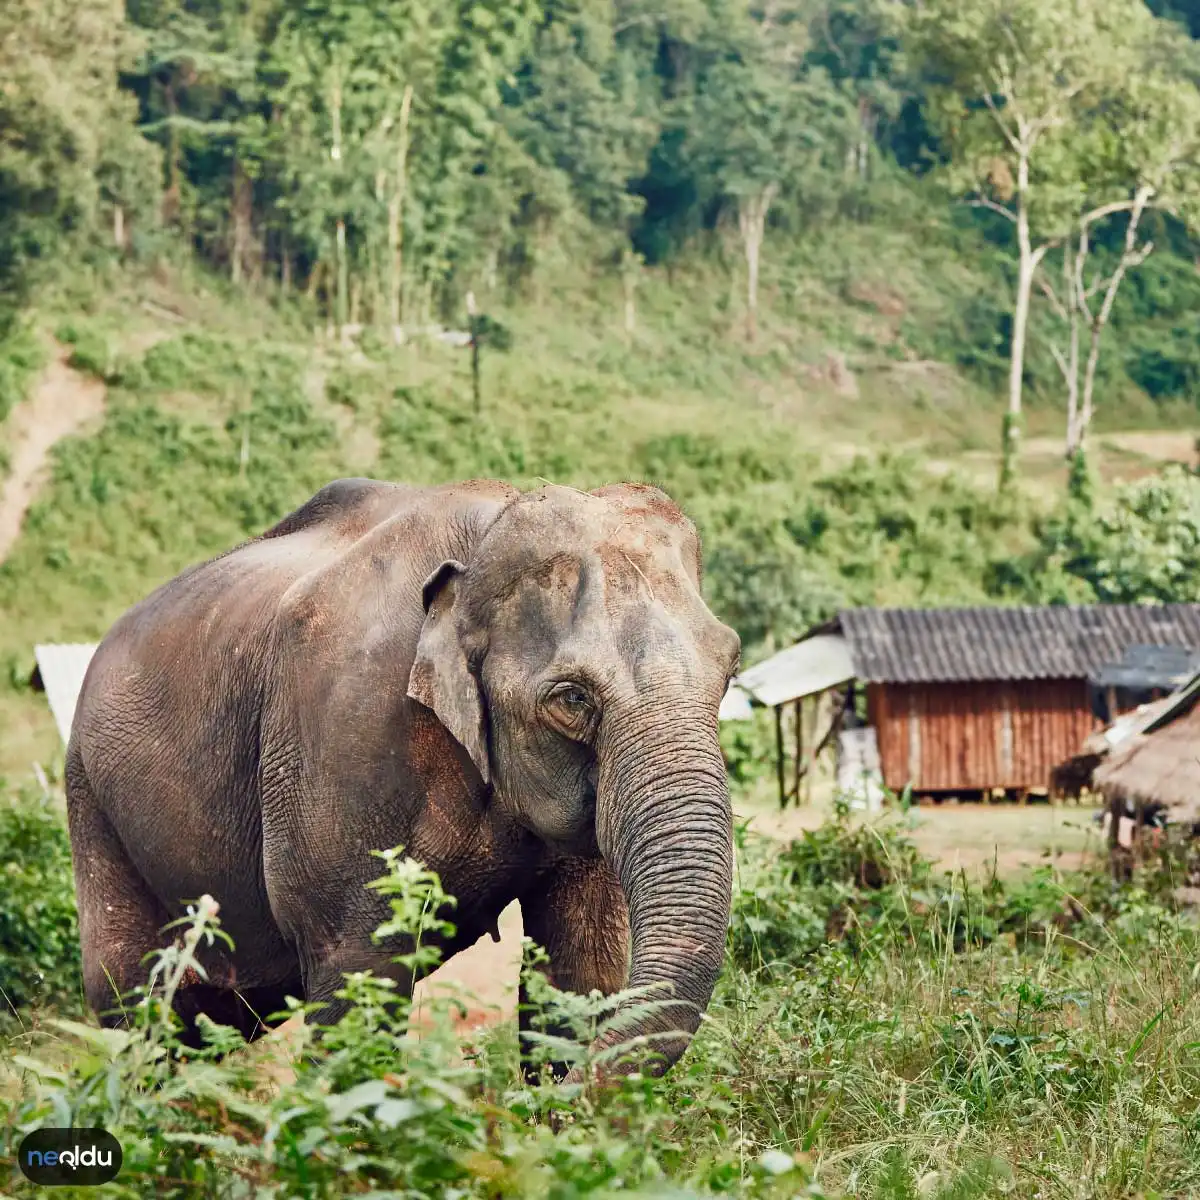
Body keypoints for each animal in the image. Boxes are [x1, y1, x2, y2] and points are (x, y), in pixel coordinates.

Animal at [70, 477, 739, 1089]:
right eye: (572, 698)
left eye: (730, 671)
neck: (491, 527)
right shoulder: (346, 738)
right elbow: (357, 976)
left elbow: (581, 962)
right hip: (93, 802)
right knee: (135, 1008)